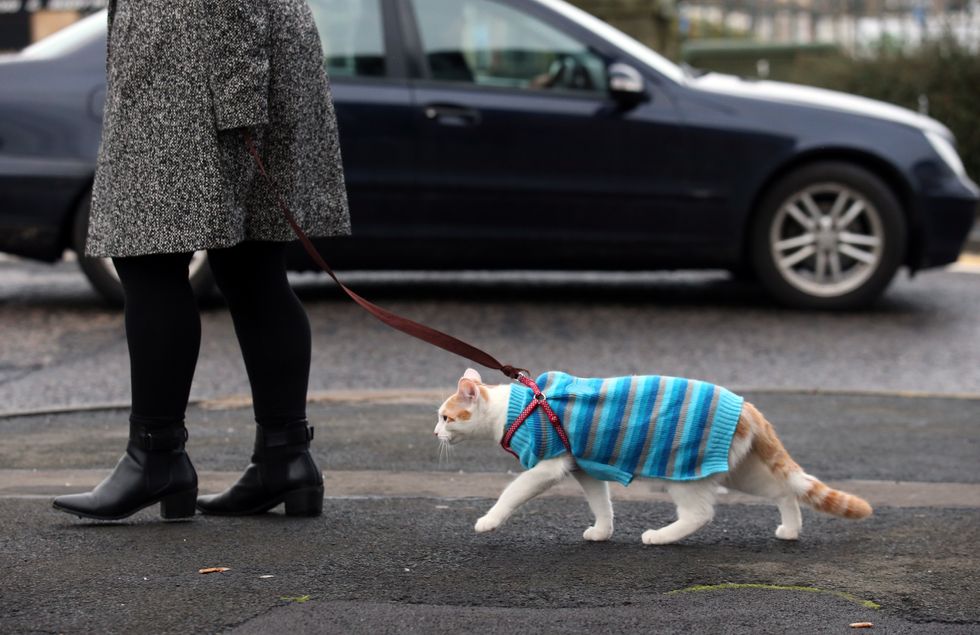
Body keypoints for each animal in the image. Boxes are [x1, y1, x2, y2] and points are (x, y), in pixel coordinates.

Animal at [436, 370, 872, 544]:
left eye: (445, 416)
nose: (436, 433)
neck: (517, 407)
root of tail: (746, 406)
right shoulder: (585, 467)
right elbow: (602, 503)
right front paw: (602, 532)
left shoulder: (548, 464)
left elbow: (512, 493)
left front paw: (489, 521)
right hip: (741, 471)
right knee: (784, 491)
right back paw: (790, 530)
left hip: (686, 473)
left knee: (700, 514)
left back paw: (660, 537)